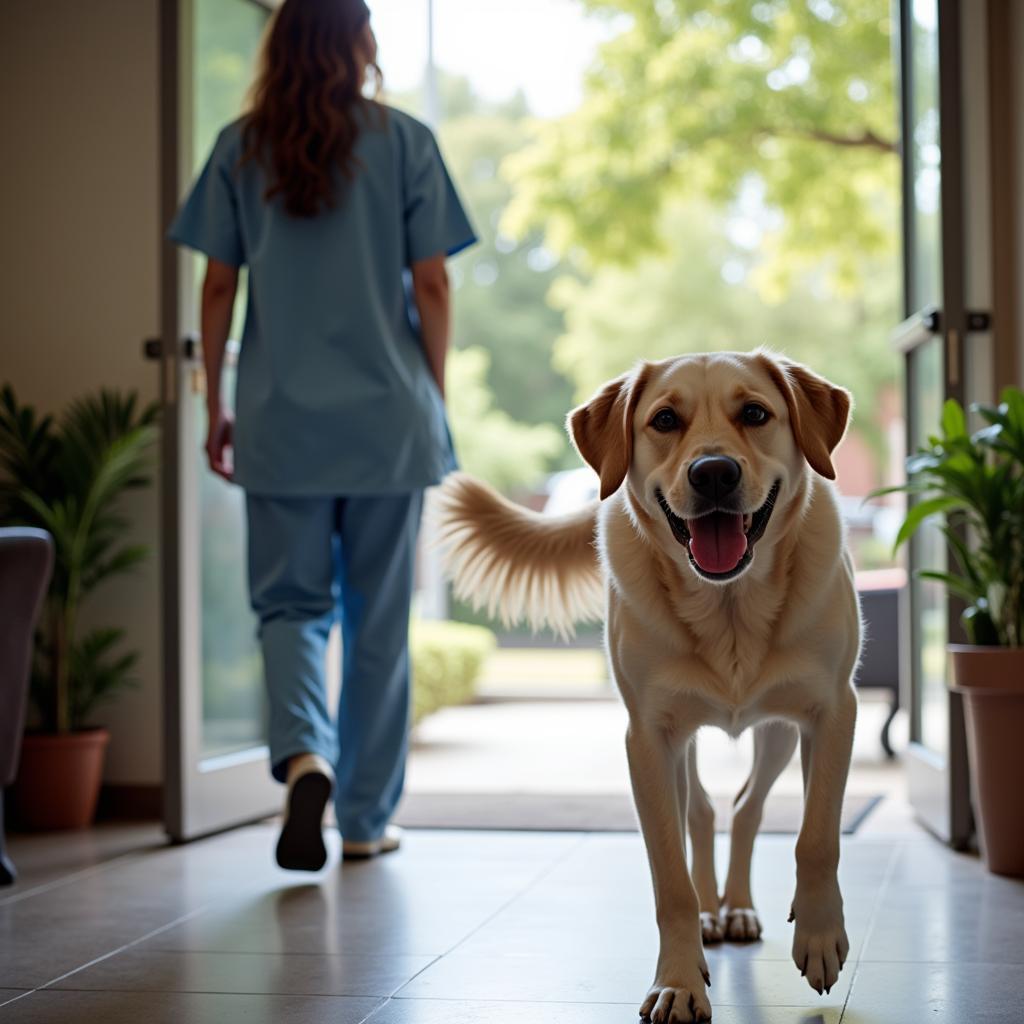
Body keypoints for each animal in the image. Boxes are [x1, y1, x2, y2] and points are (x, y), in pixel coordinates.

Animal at [436, 352, 860, 1024]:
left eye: (755, 413)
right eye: (664, 420)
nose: (714, 472)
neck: (728, 609)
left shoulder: (832, 711)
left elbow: (816, 836)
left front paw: (819, 935)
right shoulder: (649, 740)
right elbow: (671, 878)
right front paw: (679, 981)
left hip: (776, 733)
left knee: (746, 806)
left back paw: (738, 907)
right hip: (684, 738)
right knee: (705, 810)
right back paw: (714, 912)